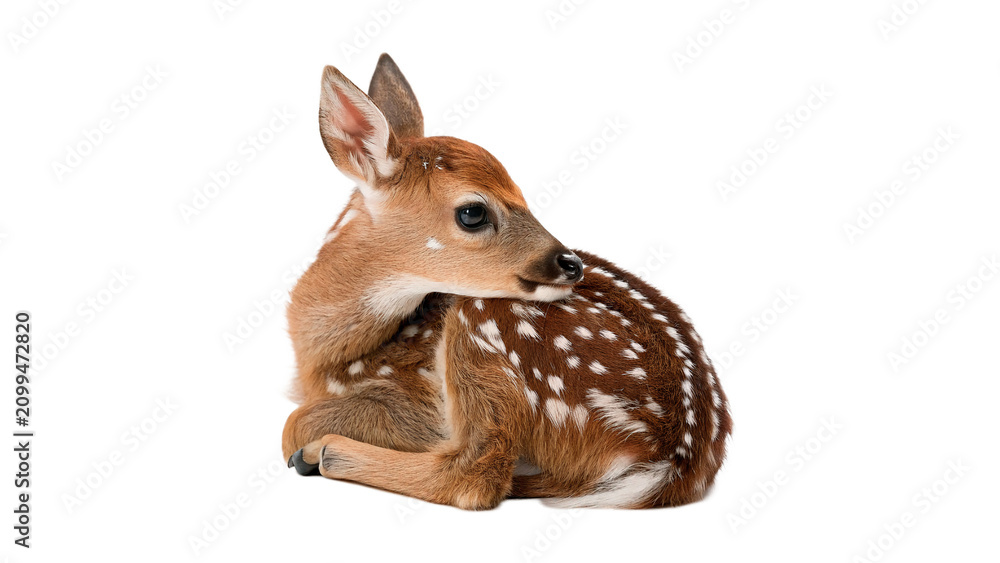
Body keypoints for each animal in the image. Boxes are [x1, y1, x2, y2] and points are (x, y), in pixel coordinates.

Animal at [281, 54, 731, 510]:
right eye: (472, 212)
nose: (571, 264)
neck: (325, 362)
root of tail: (673, 462)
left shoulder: (418, 402)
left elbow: (295, 422)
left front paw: (308, 446)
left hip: (485, 319)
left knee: (475, 473)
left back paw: (322, 453)